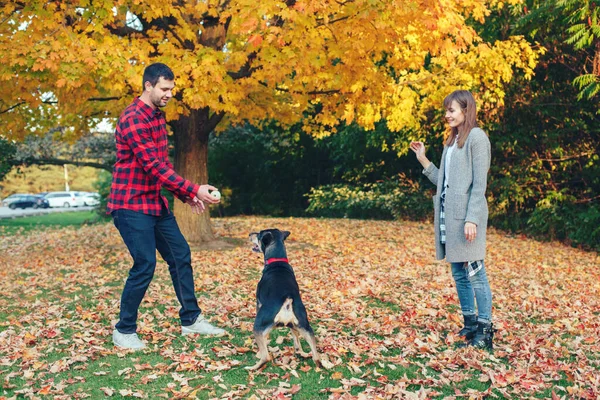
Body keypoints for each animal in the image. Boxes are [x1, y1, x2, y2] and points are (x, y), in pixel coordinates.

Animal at [245, 230, 318, 370]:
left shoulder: (258, 305)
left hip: (257, 326)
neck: (277, 260)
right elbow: (295, 338)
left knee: (265, 357)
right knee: (316, 355)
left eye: (259, 234)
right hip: (305, 326)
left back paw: (253, 367)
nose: (250, 234)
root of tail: (287, 300)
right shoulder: (293, 326)